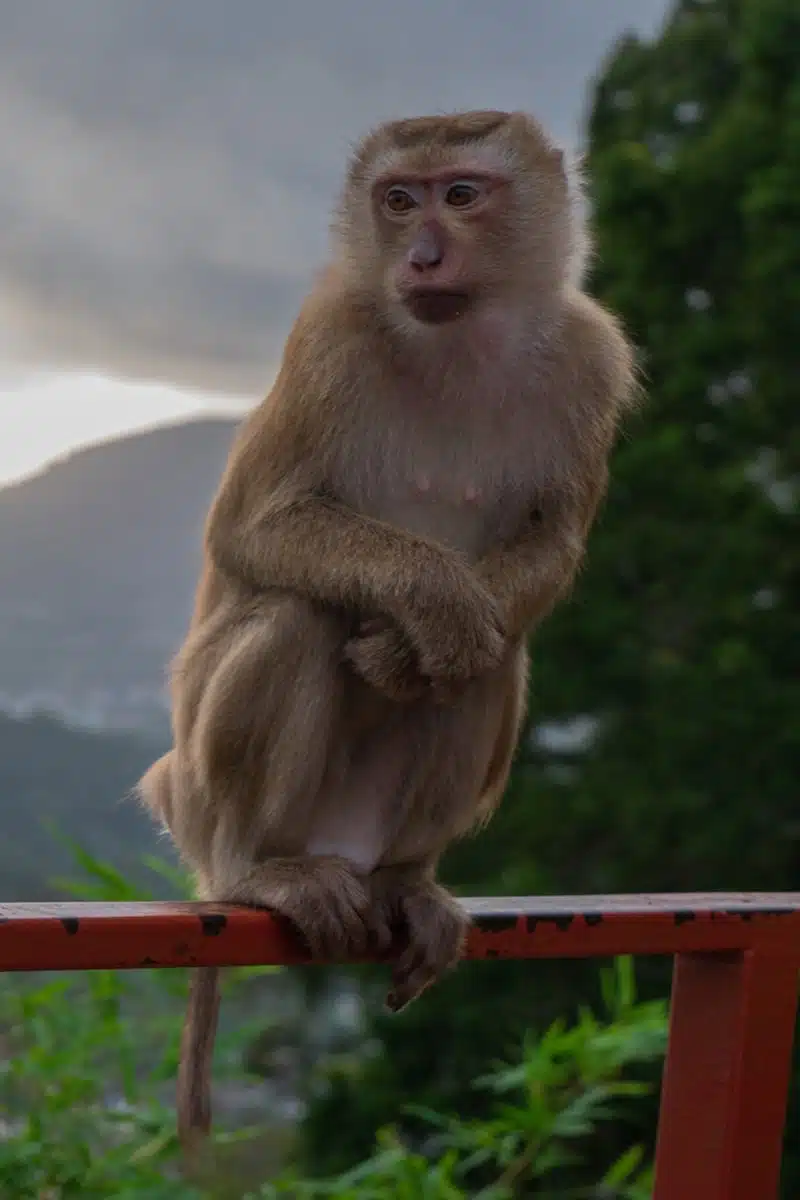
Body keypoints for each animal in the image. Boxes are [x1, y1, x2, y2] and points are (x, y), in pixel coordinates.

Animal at [138, 108, 638, 1156]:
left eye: (462, 193)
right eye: (399, 199)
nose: (421, 254)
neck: (463, 341)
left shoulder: (592, 355)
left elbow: (551, 545)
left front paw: (418, 644)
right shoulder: (328, 334)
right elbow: (253, 528)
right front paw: (431, 601)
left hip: (368, 823)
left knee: (493, 663)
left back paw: (411, 880)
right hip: (199, 798)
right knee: (297, 615)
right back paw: (264, 874)